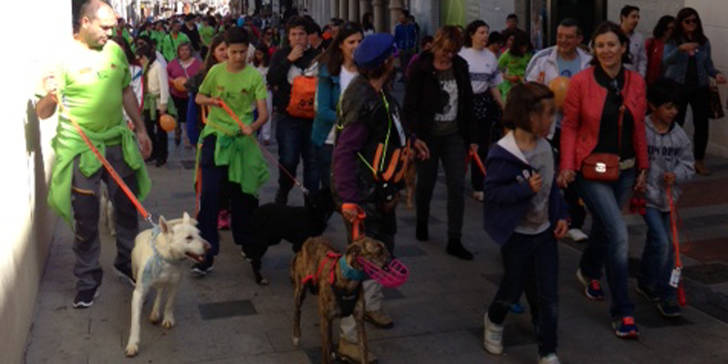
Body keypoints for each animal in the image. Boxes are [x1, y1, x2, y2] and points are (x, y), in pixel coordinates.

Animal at [125, 212, 209, 356]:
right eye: (189, 238)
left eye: (200, 234)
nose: (209, 246)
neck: (166, 258)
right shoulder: (139, 292)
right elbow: (135, 321)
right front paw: (132, 344)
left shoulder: (175, 284)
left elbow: (169, 303)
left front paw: (168, 319)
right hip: (136, 272)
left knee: (159, 291)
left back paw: (155, 312)